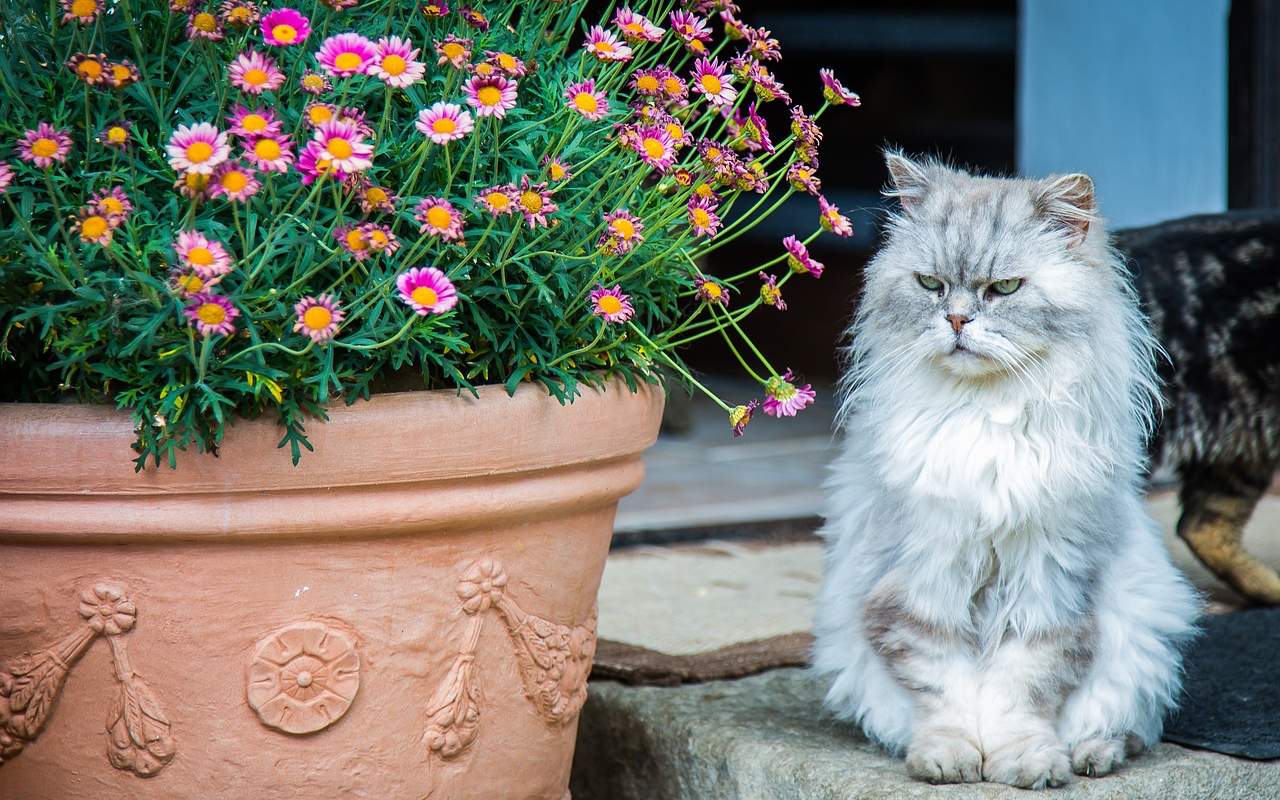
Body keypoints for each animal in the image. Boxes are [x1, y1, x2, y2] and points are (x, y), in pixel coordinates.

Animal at [814, 149, 1203, 788]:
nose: (955, 321)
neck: (986, 416)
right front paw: (950, 759)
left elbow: (1021, 691)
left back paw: (1090, 756)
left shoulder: (1048, 581)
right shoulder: (924, 577)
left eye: (1004, 288)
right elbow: (944, 689)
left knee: (1123, 726)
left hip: (1143, 630)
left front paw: (1025, 763)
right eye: (930, 284)